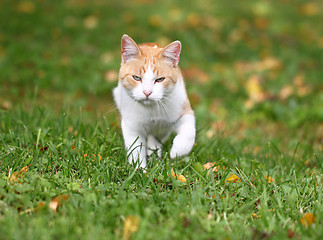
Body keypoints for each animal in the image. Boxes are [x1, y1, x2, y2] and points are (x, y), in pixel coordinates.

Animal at [112, 34, 196, 170]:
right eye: (136, 78)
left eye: (160, 79)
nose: (147, 92)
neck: (151, 111)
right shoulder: (131, 126)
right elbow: (136, 149)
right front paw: (140, 170)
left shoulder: (183, 110)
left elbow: (189, 130)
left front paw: (178, 151)